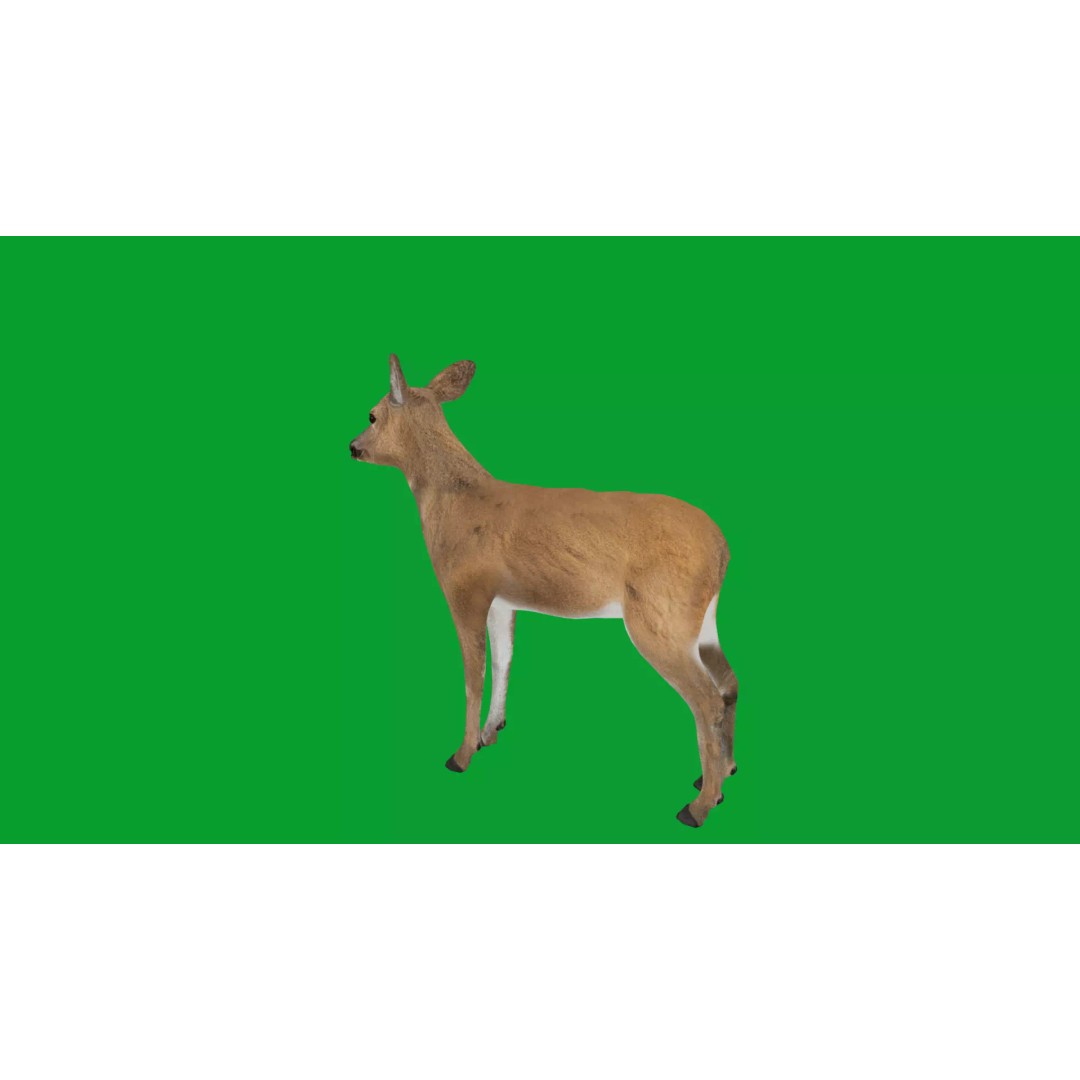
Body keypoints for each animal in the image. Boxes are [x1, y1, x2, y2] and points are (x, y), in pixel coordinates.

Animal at [349, 355, 739, 827]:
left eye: (371, 415)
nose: (352, 446)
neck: (455, 500)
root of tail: (722, 550)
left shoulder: (465, 588)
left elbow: (473, 675)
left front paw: (461, 754)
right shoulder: (503, 600)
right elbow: (504, 661)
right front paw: (490, 732)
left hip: (660, 617)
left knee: (707, 699)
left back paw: (698, 806)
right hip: (700, 621)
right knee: (730, 683)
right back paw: (720, 777)